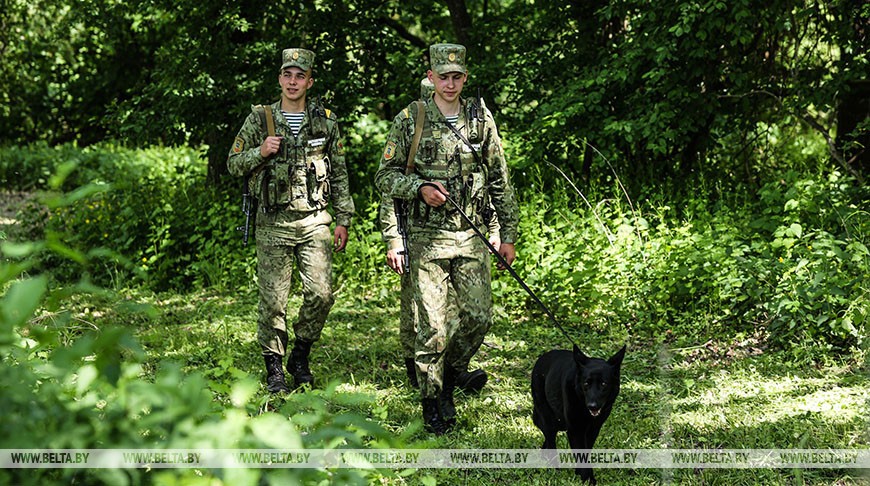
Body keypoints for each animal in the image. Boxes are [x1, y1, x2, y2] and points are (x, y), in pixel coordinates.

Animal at [532, 344, 628, 484]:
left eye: (603, 384)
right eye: (586, 383)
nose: (592, 406)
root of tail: (541, 358)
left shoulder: (593, 430)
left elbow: (586, 451)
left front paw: (582, 475)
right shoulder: (575, 430)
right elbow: (581, 453)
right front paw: (586, 479)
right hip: (549, 419)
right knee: (550, 441)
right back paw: (554, 468)